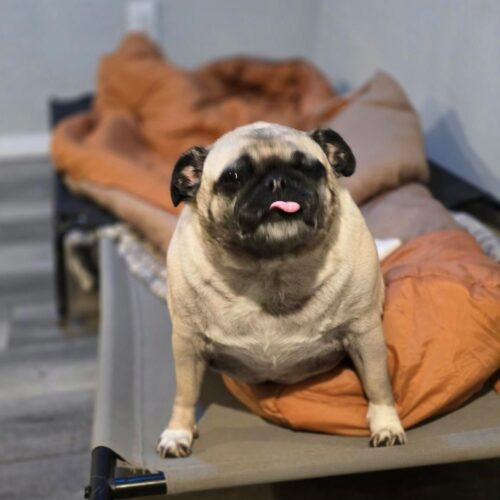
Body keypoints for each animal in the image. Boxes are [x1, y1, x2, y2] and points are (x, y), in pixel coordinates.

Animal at [156, 122, 406, 457]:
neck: (272, 269)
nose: (277, 181)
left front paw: (386, 425)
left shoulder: (364, 334)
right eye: (233, 177)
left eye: (311, 169)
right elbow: (184, 394)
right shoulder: (187, 344)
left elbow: (378, 384)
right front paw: (178, 432)